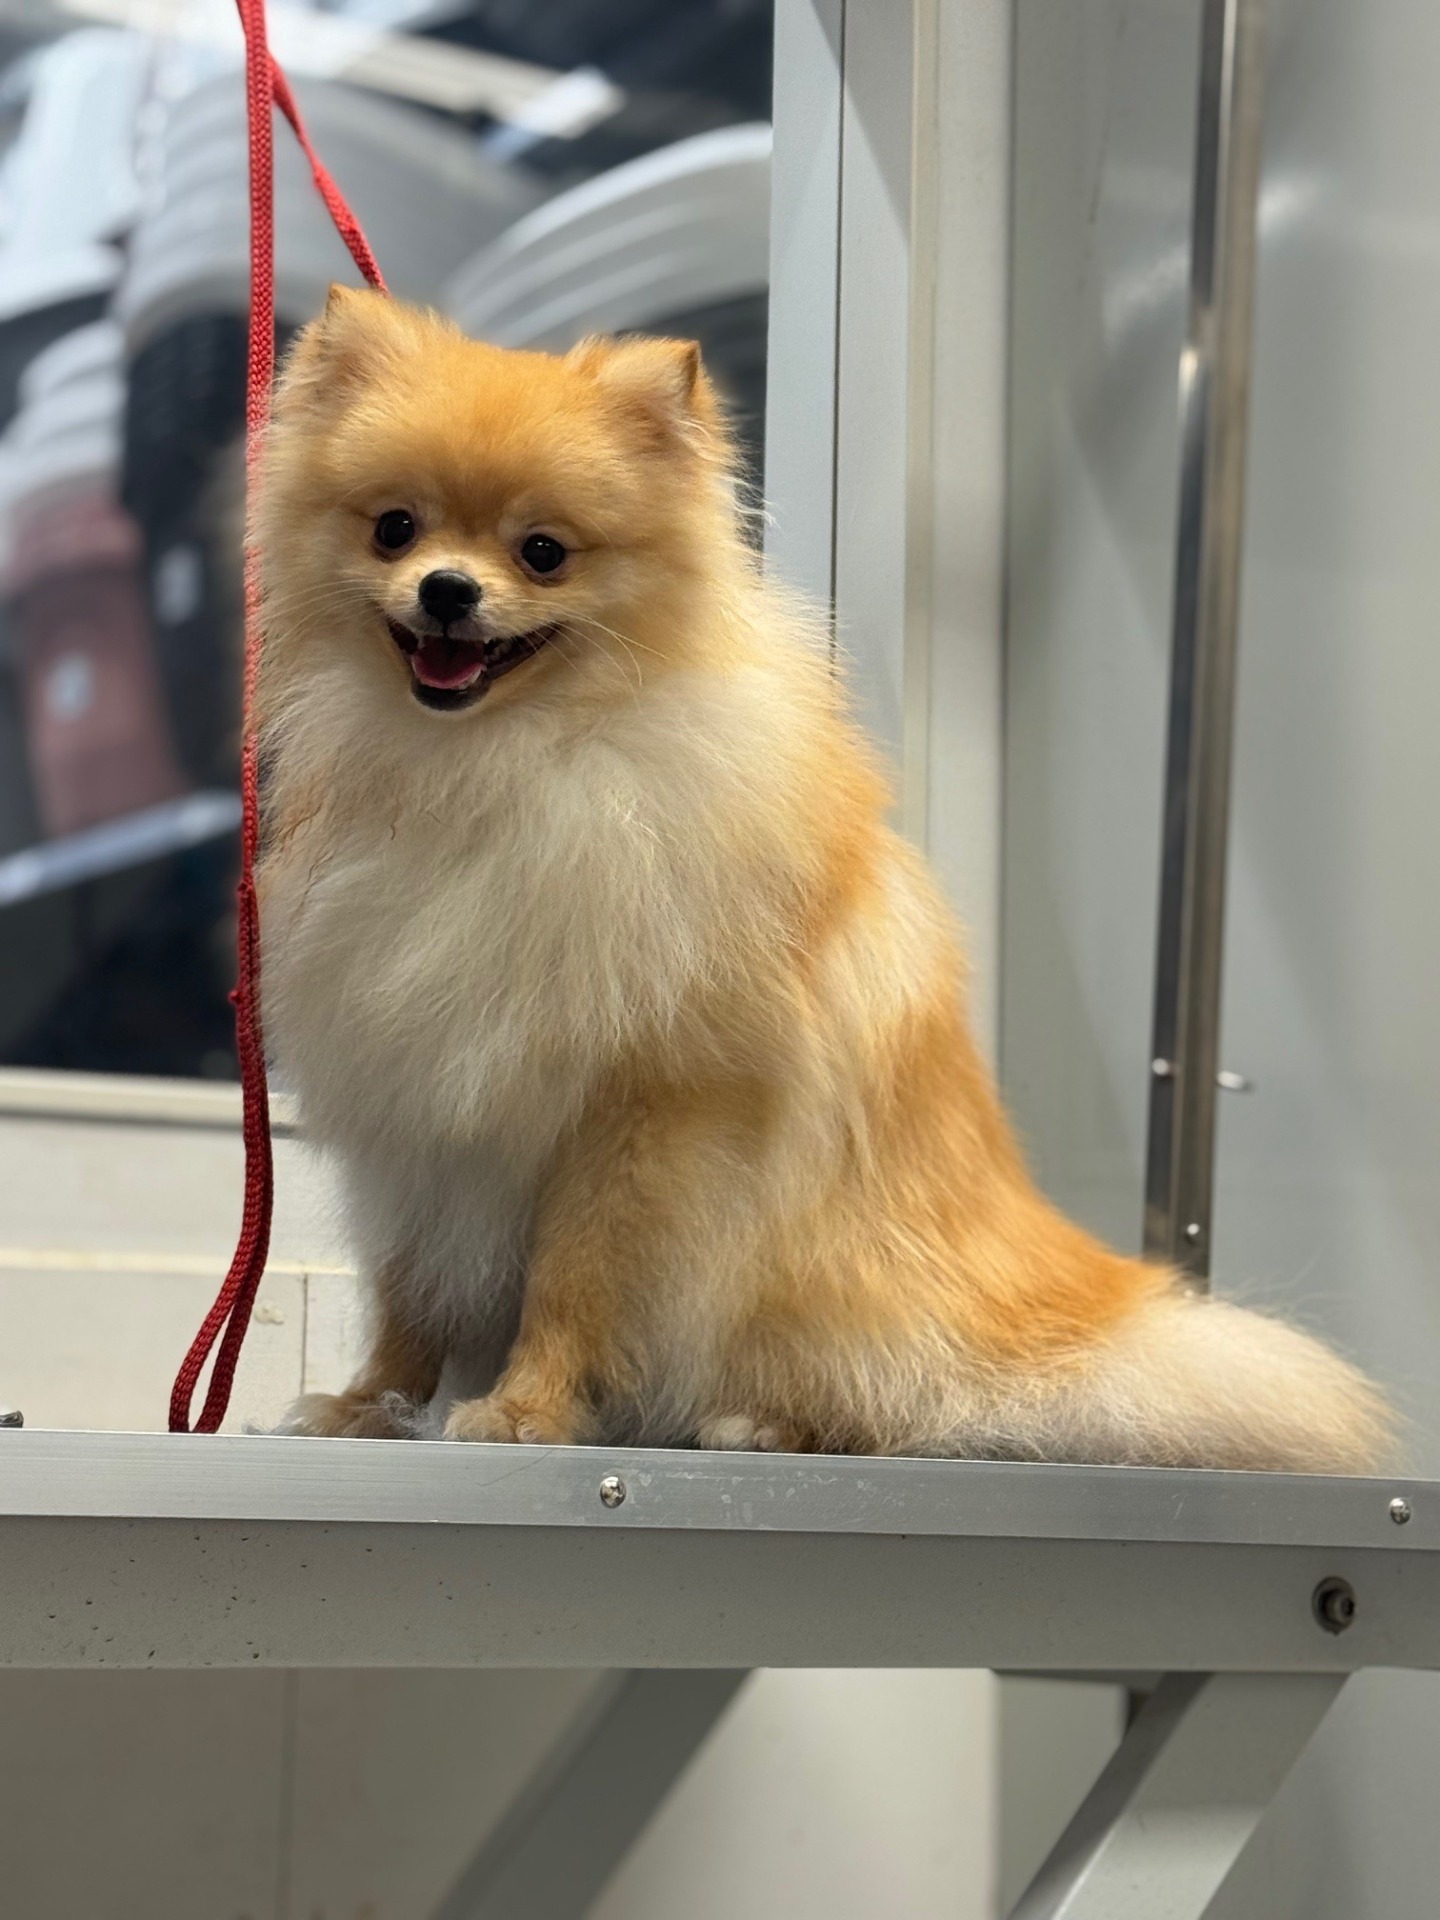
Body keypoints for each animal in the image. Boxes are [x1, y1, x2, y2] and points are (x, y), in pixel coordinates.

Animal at [257, 286, 1389, 1471]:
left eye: (543, 552)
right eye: (395, 527)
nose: (446, 590)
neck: (498, 763)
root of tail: (1063, 1313)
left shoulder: (642, 1109)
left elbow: (575, 1279)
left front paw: (526, 1409)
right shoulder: (416, 1112)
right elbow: (408, 1289)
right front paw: (371, 1403)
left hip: (831, 1276)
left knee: (912, 1403)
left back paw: (765, 1420)